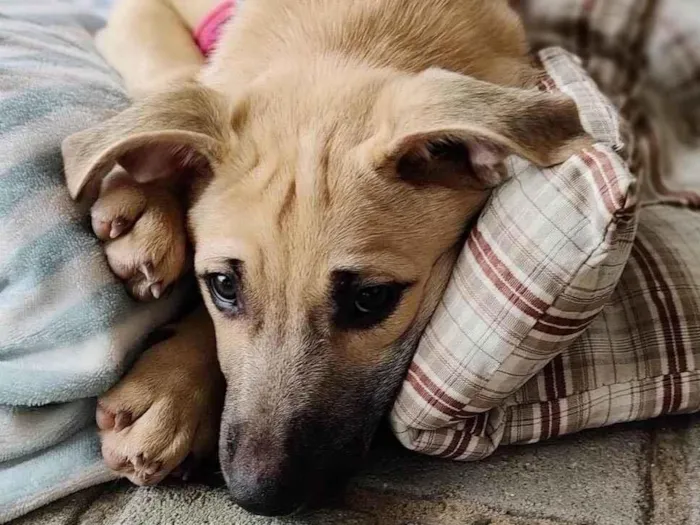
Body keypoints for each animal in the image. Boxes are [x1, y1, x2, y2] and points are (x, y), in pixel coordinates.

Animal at [61, 0, 592, 516]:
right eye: (223, 286)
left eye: (371, 299)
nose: (258, 497)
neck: (346, 30)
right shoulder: (138, 14)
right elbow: (177, 83)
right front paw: (143, 197)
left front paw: (170, 393)